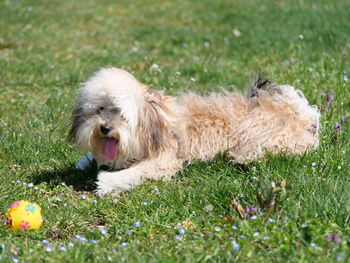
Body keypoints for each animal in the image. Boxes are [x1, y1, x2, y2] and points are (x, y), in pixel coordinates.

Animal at [68, 67, 320, 197]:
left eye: (121, 113)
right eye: (100, 109)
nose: (105, 128)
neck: (156, 122)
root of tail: (303, 117)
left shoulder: (164, 161)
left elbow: (135, 172)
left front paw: (106, 183)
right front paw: (85, 161)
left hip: (256, 140)